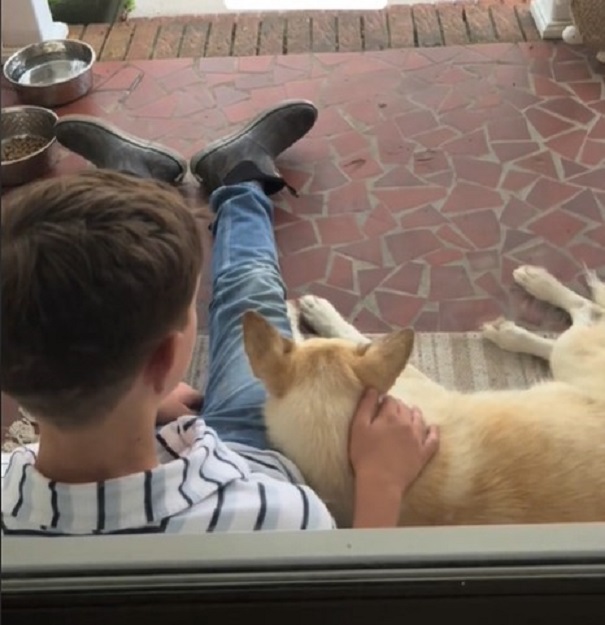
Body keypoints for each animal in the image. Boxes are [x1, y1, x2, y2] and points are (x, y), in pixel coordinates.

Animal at [242, 264, 604, 528]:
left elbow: (352, 336)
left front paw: (309, 314)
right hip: (569, 359)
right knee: (579, 320)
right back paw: (513, 326)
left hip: (570, 354)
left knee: (586, 311)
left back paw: (537, 286)